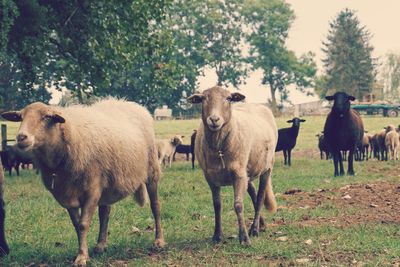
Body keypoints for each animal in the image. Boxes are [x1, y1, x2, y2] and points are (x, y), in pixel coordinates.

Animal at [0, 99, 164, 266]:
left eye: (47, 117)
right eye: (20, 117)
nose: (21, 137)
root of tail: (132, 104)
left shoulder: (92, 190)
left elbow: (84, 224)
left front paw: (82, 257)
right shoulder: (67, 194)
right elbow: (77, 226)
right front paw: (83, 252)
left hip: (151, 171)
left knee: (155, 206)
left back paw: (159, 241)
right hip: (108, 182)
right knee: (105, 212)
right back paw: (100, 245)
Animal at [188, 86, 278, 247]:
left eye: (228, 98)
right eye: (203, 98)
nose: (214, 119)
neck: (219, 149)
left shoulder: (239, 174)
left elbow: (238, 204)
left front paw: (244, 238)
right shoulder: (210, 177)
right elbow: (217, 205)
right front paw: (217, 236)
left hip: (266, 166)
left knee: (260, 196)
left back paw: (255, 229)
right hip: (248, 169)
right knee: (253, 192)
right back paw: (261, 225)